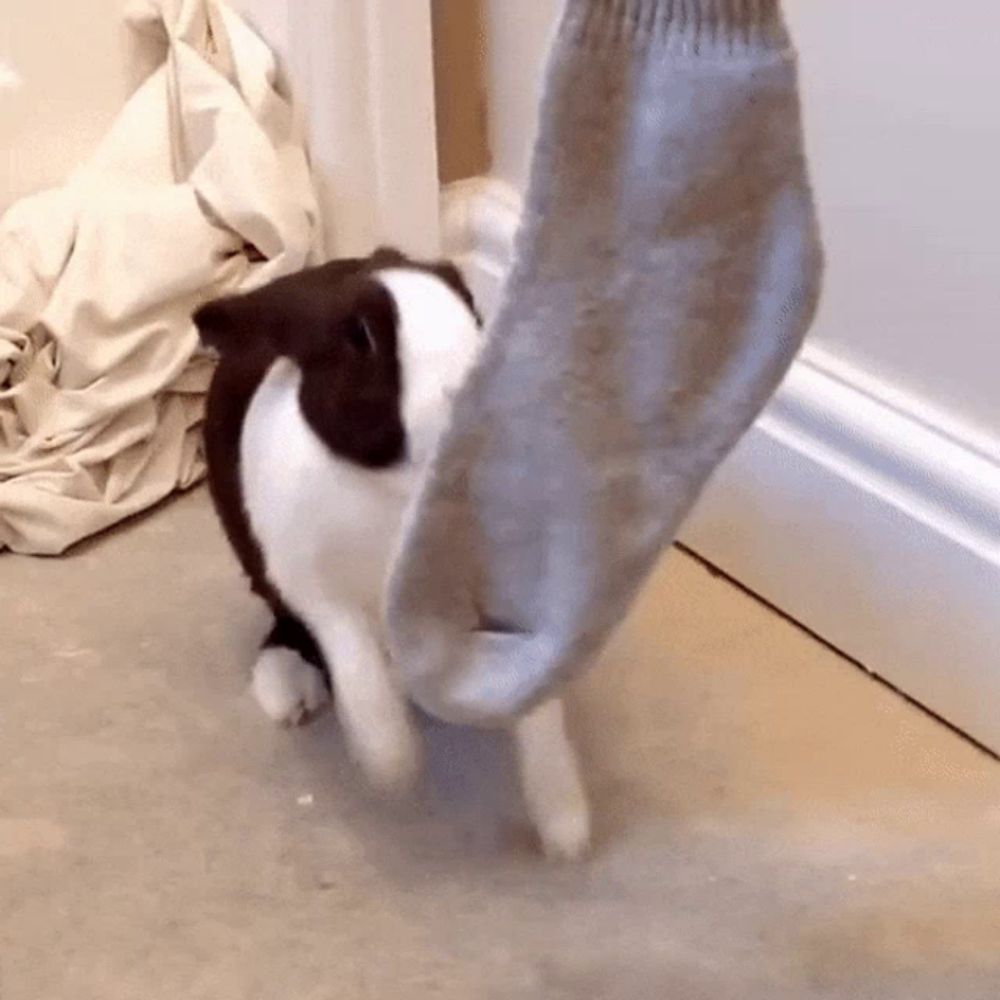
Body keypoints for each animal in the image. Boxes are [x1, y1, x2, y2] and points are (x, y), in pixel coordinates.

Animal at [191, 250, 588, 860]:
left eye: (472, 305)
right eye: (360, 338)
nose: (474, 398)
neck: (406, 494)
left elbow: (537, 705)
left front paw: (567, 825)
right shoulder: (320, 591)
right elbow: (358, 669)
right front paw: (391, 766)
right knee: (292, 632)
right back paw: (289, 692)